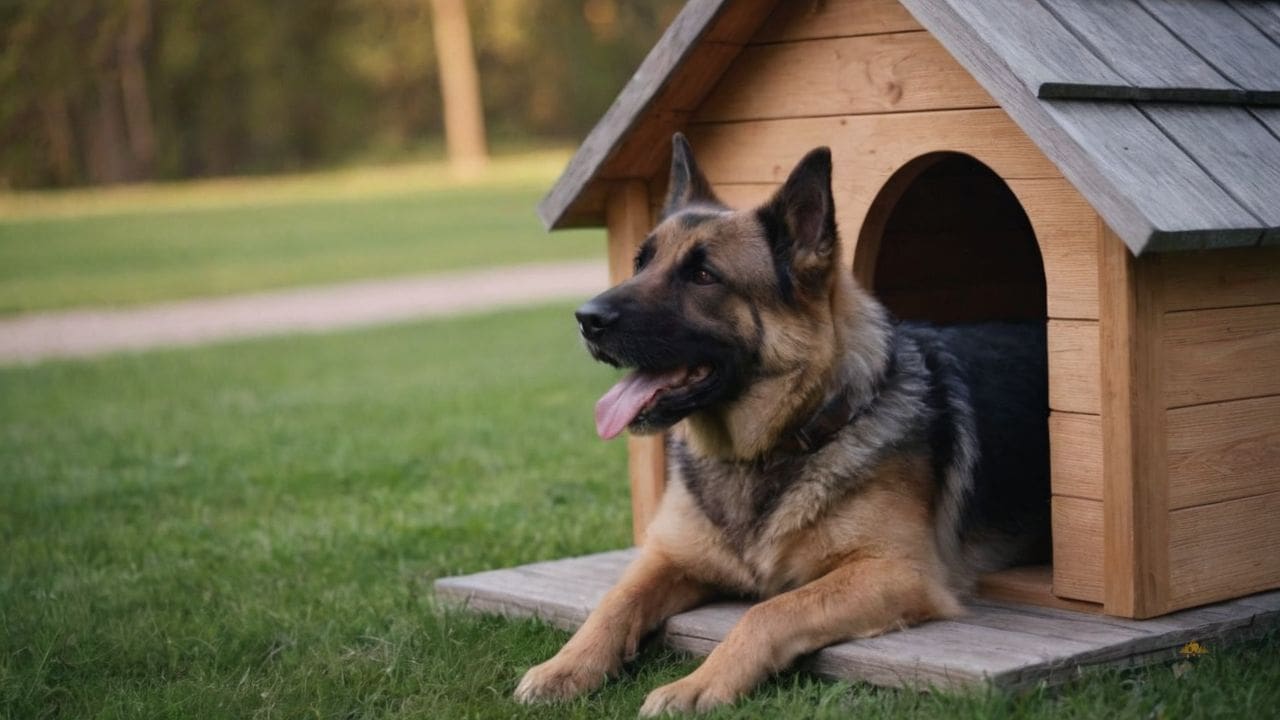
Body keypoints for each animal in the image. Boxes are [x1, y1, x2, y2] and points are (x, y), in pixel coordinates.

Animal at [514, 134, 1044, 712]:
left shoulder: (897, 572)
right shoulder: (667, 557)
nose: (586, 318)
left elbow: (768, 610)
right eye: (639, 262)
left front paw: (698, 684)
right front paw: (567, 666)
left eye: (703, 275)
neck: (766, 449)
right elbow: (615, 599)